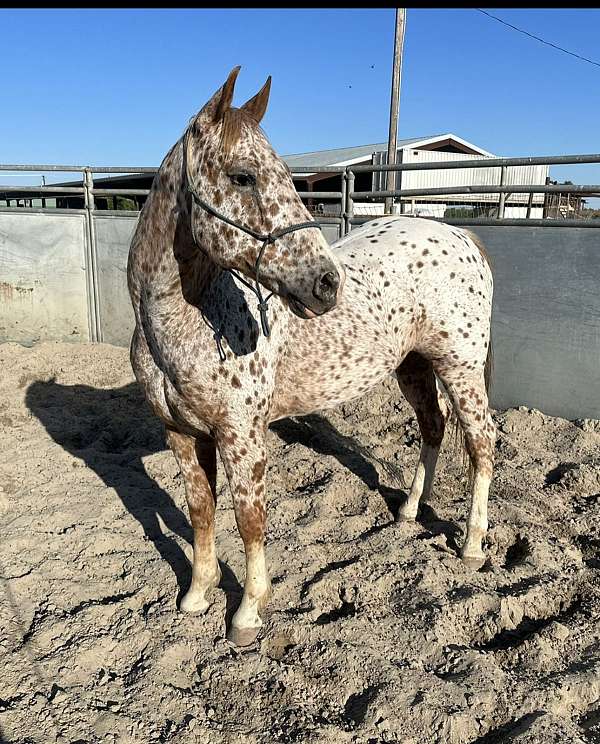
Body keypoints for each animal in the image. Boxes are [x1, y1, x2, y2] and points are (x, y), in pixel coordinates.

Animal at [129, 67, 494, 648]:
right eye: (242, 177)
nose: (327, 284)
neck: (184, 322)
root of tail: (458, 232)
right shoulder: (181, 434)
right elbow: (201, 512)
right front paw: (195, 596)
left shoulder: (241, 437)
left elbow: (249, 521)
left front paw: (247, 613)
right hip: (412, 366)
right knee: (433, 428)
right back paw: (407, 513)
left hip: (460, 368)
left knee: (482, 444)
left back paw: (472, 544)